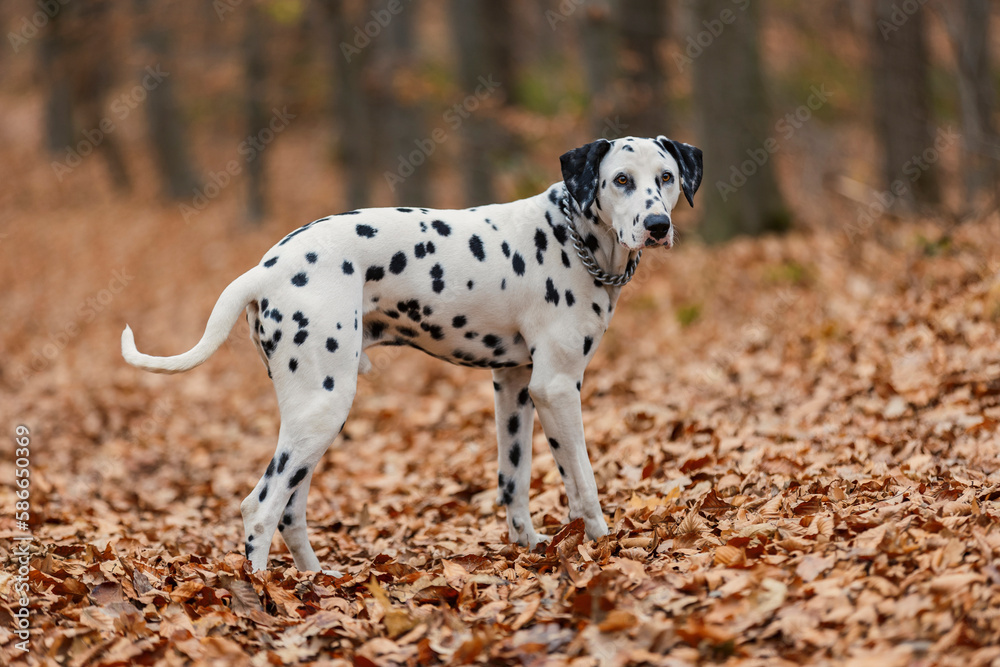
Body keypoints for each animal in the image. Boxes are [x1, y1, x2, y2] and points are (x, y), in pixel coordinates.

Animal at [123, 136, 704, 576]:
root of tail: (266, 267)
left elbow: (513, 481)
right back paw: (263, 594)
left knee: (290, 510)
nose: (656, 225)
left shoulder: (515, 385)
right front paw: (602, 547)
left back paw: (315, 580)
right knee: (260, 509)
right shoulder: (557, 388)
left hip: (310, 420)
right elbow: (582, 483)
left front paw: (530, 548)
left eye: (667, 177)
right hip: (322, 411)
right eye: (620, 180)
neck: (570, 234)